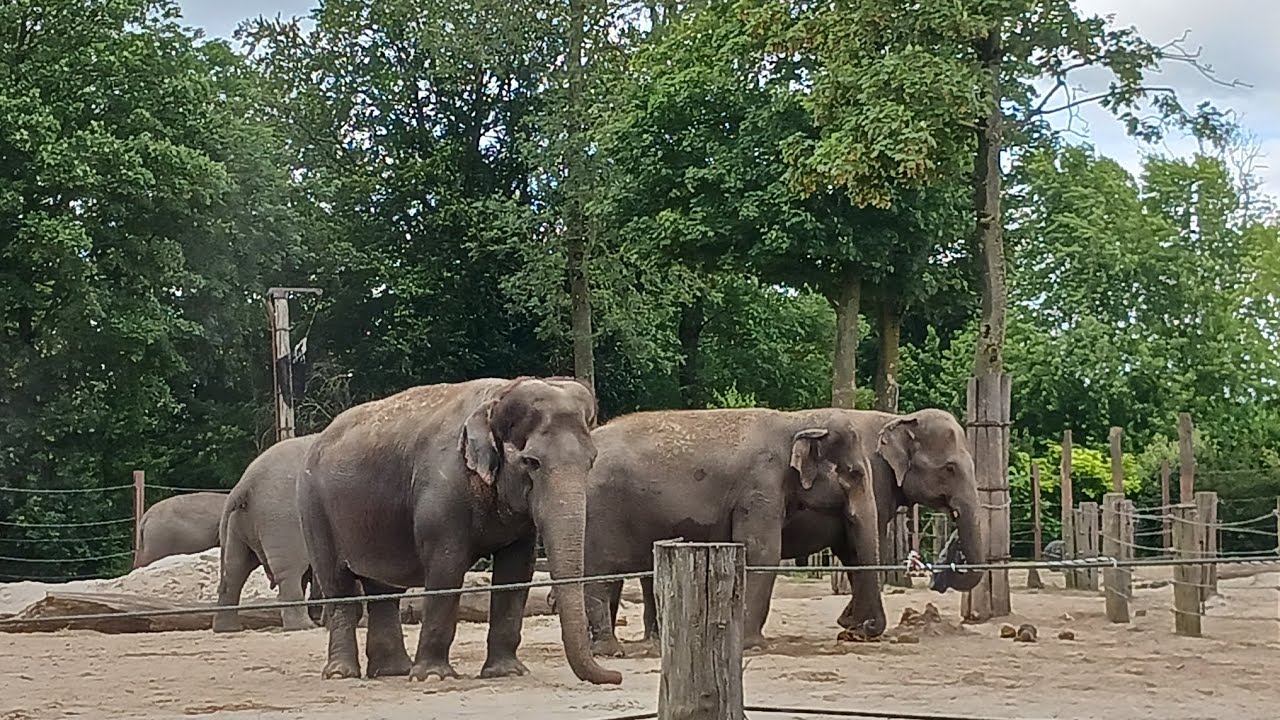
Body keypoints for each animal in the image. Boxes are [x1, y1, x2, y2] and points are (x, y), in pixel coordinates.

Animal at [214, 434, 322, 633]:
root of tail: (245, 483)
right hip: (282, 520)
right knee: (291, 571)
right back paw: (303, 626)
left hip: (239, 525)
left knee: (235, 571)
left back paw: (227, 629)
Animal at [297, 376, 621, 686]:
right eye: (532, 462)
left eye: (591, 461)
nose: (616, 675)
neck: (498, 396)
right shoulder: (442, 492)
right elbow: (447, 568)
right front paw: (433, 676)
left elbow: (516, 572)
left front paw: (507, 672)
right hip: (314, 510)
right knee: (338, 586)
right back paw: (342, 674)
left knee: (383, 590)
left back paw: (392, 671)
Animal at [571, 407, 885, 657]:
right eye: (855, 473)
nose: (855, 630)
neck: (797, 420)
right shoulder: (760, 486)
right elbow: (762, 552)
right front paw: (753, 646)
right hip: (601, 512)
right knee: (602, 575)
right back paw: (611, 651)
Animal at [779, 408, 986, 632]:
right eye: (950, 468)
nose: (936, 580)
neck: (897, 420)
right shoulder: (875, 482)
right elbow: (869, 544)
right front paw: (858, 625)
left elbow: (853, 550)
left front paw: (850, 622)